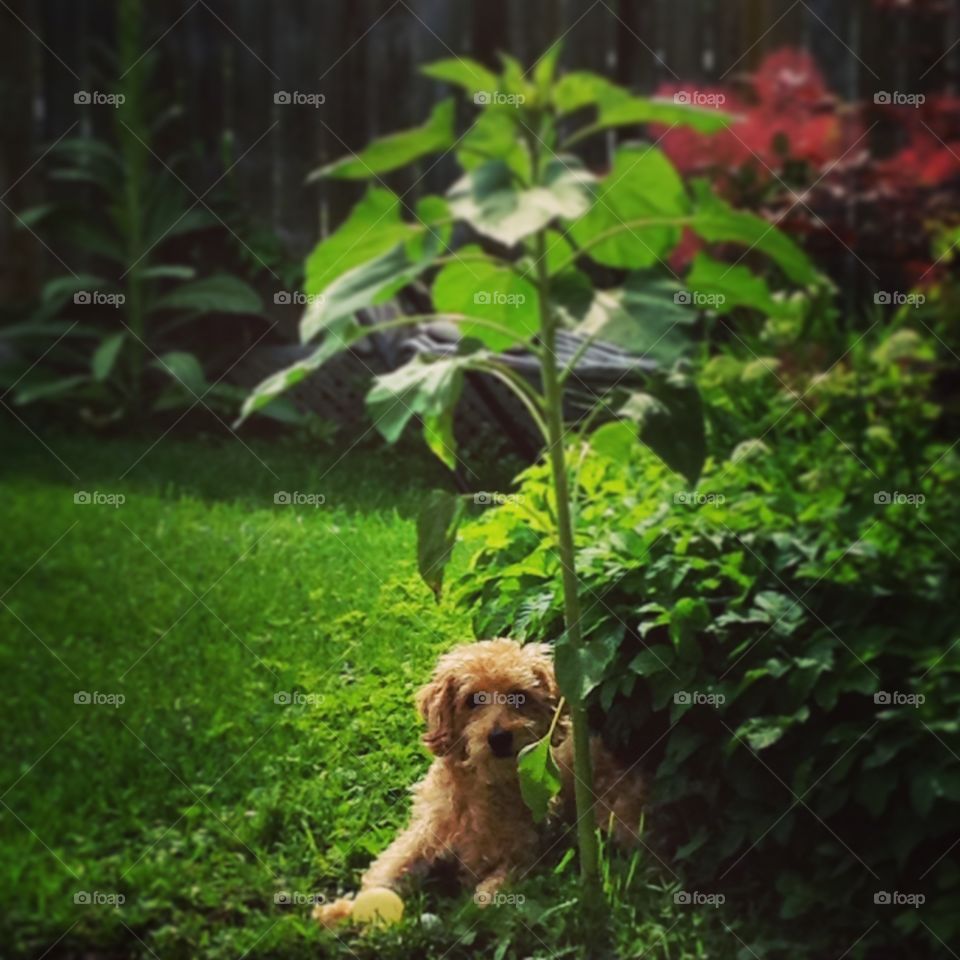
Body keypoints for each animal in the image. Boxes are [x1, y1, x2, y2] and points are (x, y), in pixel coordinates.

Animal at [316, 636, 644, 924]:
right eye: (473, 699)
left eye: (520, 696)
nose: (499, 738)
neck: (483, 788)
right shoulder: (426, 833)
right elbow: (388, 870)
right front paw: (340, 911)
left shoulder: (525, 853)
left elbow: (486, 895)